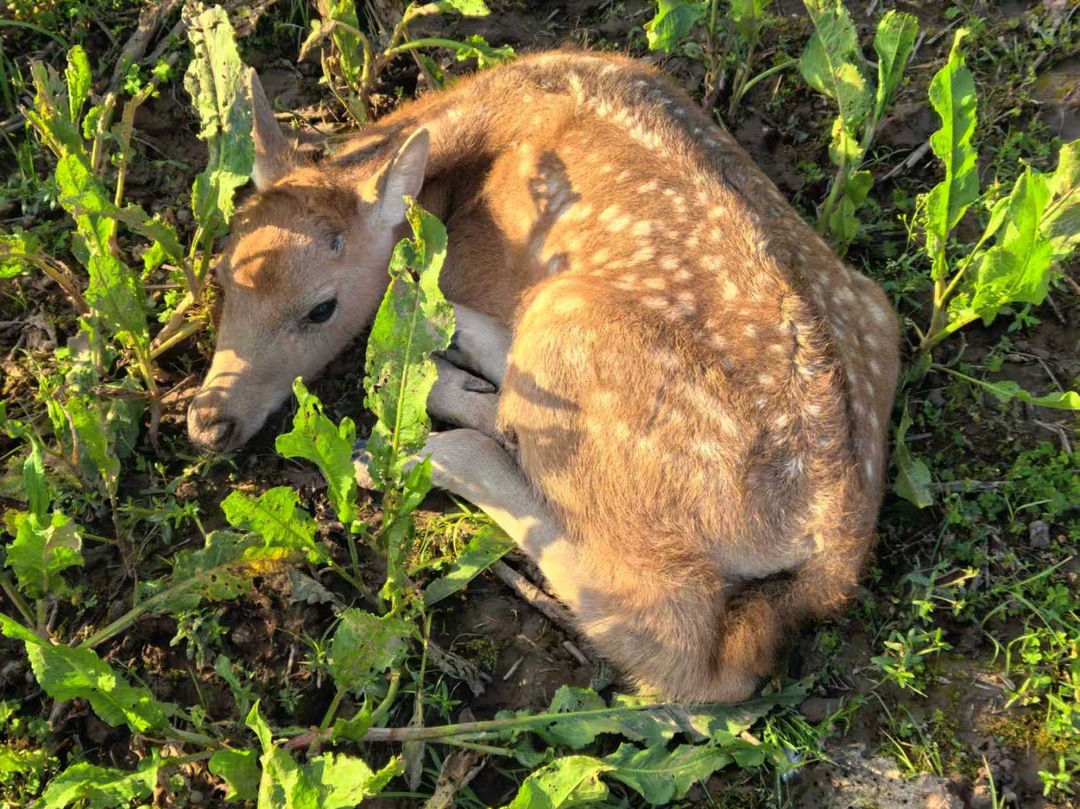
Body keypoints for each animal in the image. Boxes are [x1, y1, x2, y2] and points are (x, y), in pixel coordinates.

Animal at [187, 50, 900, 703]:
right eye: (222, 269)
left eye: (321, 308)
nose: (209, 420)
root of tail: (835, 538)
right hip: (870, 307)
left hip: (574, 331)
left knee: (677, 647)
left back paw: (412, 450)